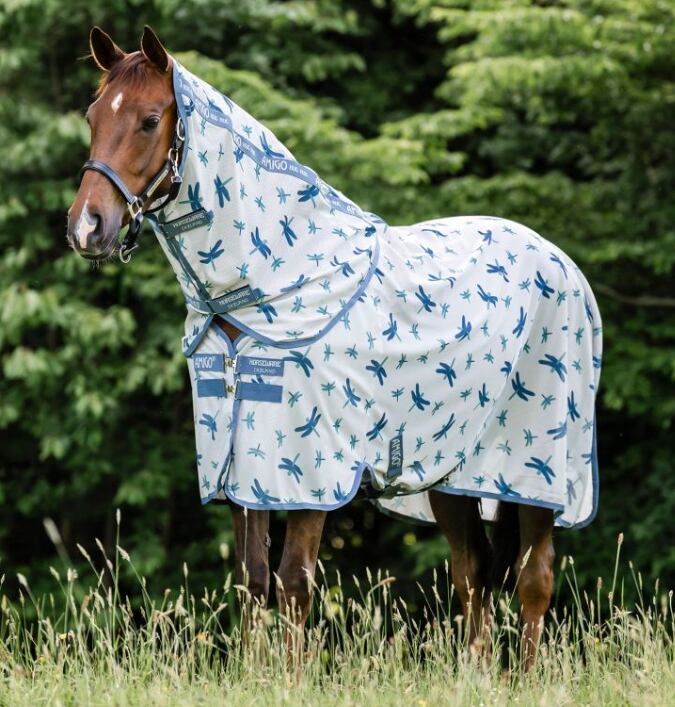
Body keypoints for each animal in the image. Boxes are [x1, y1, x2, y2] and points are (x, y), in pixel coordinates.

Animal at [67, 26, 602, 670]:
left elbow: (295, 581)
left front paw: (289, 679)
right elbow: (253, 579)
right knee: (473, 574)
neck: (276, 279)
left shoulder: (310, 471)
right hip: (449, 476)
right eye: (93, 115)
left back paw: (521, 678)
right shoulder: (240, 461)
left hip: (531, 477)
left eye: (149, 120)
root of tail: (562, 264)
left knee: (533, 578)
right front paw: (255, 675)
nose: (87, 228)